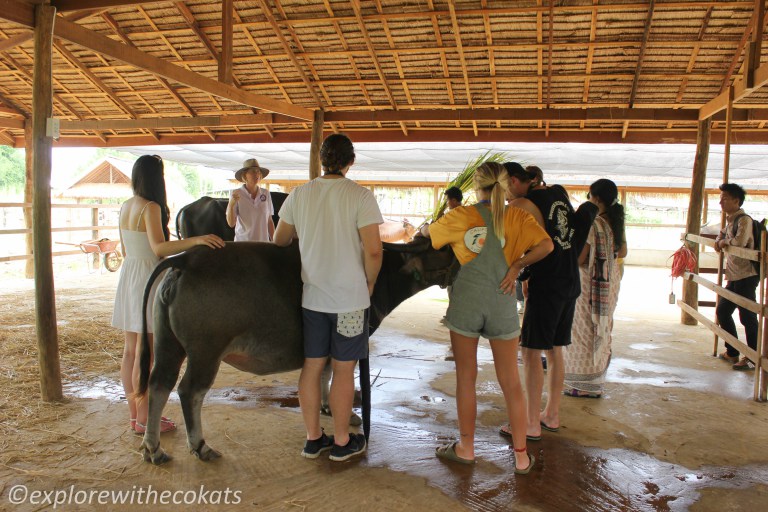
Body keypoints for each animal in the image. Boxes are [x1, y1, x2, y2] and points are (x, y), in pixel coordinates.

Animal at [137, 236, 456, 464]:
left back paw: (153, 448)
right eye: (440, 247)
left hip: (168, 343)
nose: (458, 260)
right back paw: (200, 446)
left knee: (159, 384)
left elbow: (325, 373)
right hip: (206, 351)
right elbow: (336, 374)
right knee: (189, 391)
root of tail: (185, 259)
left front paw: (327, 407)